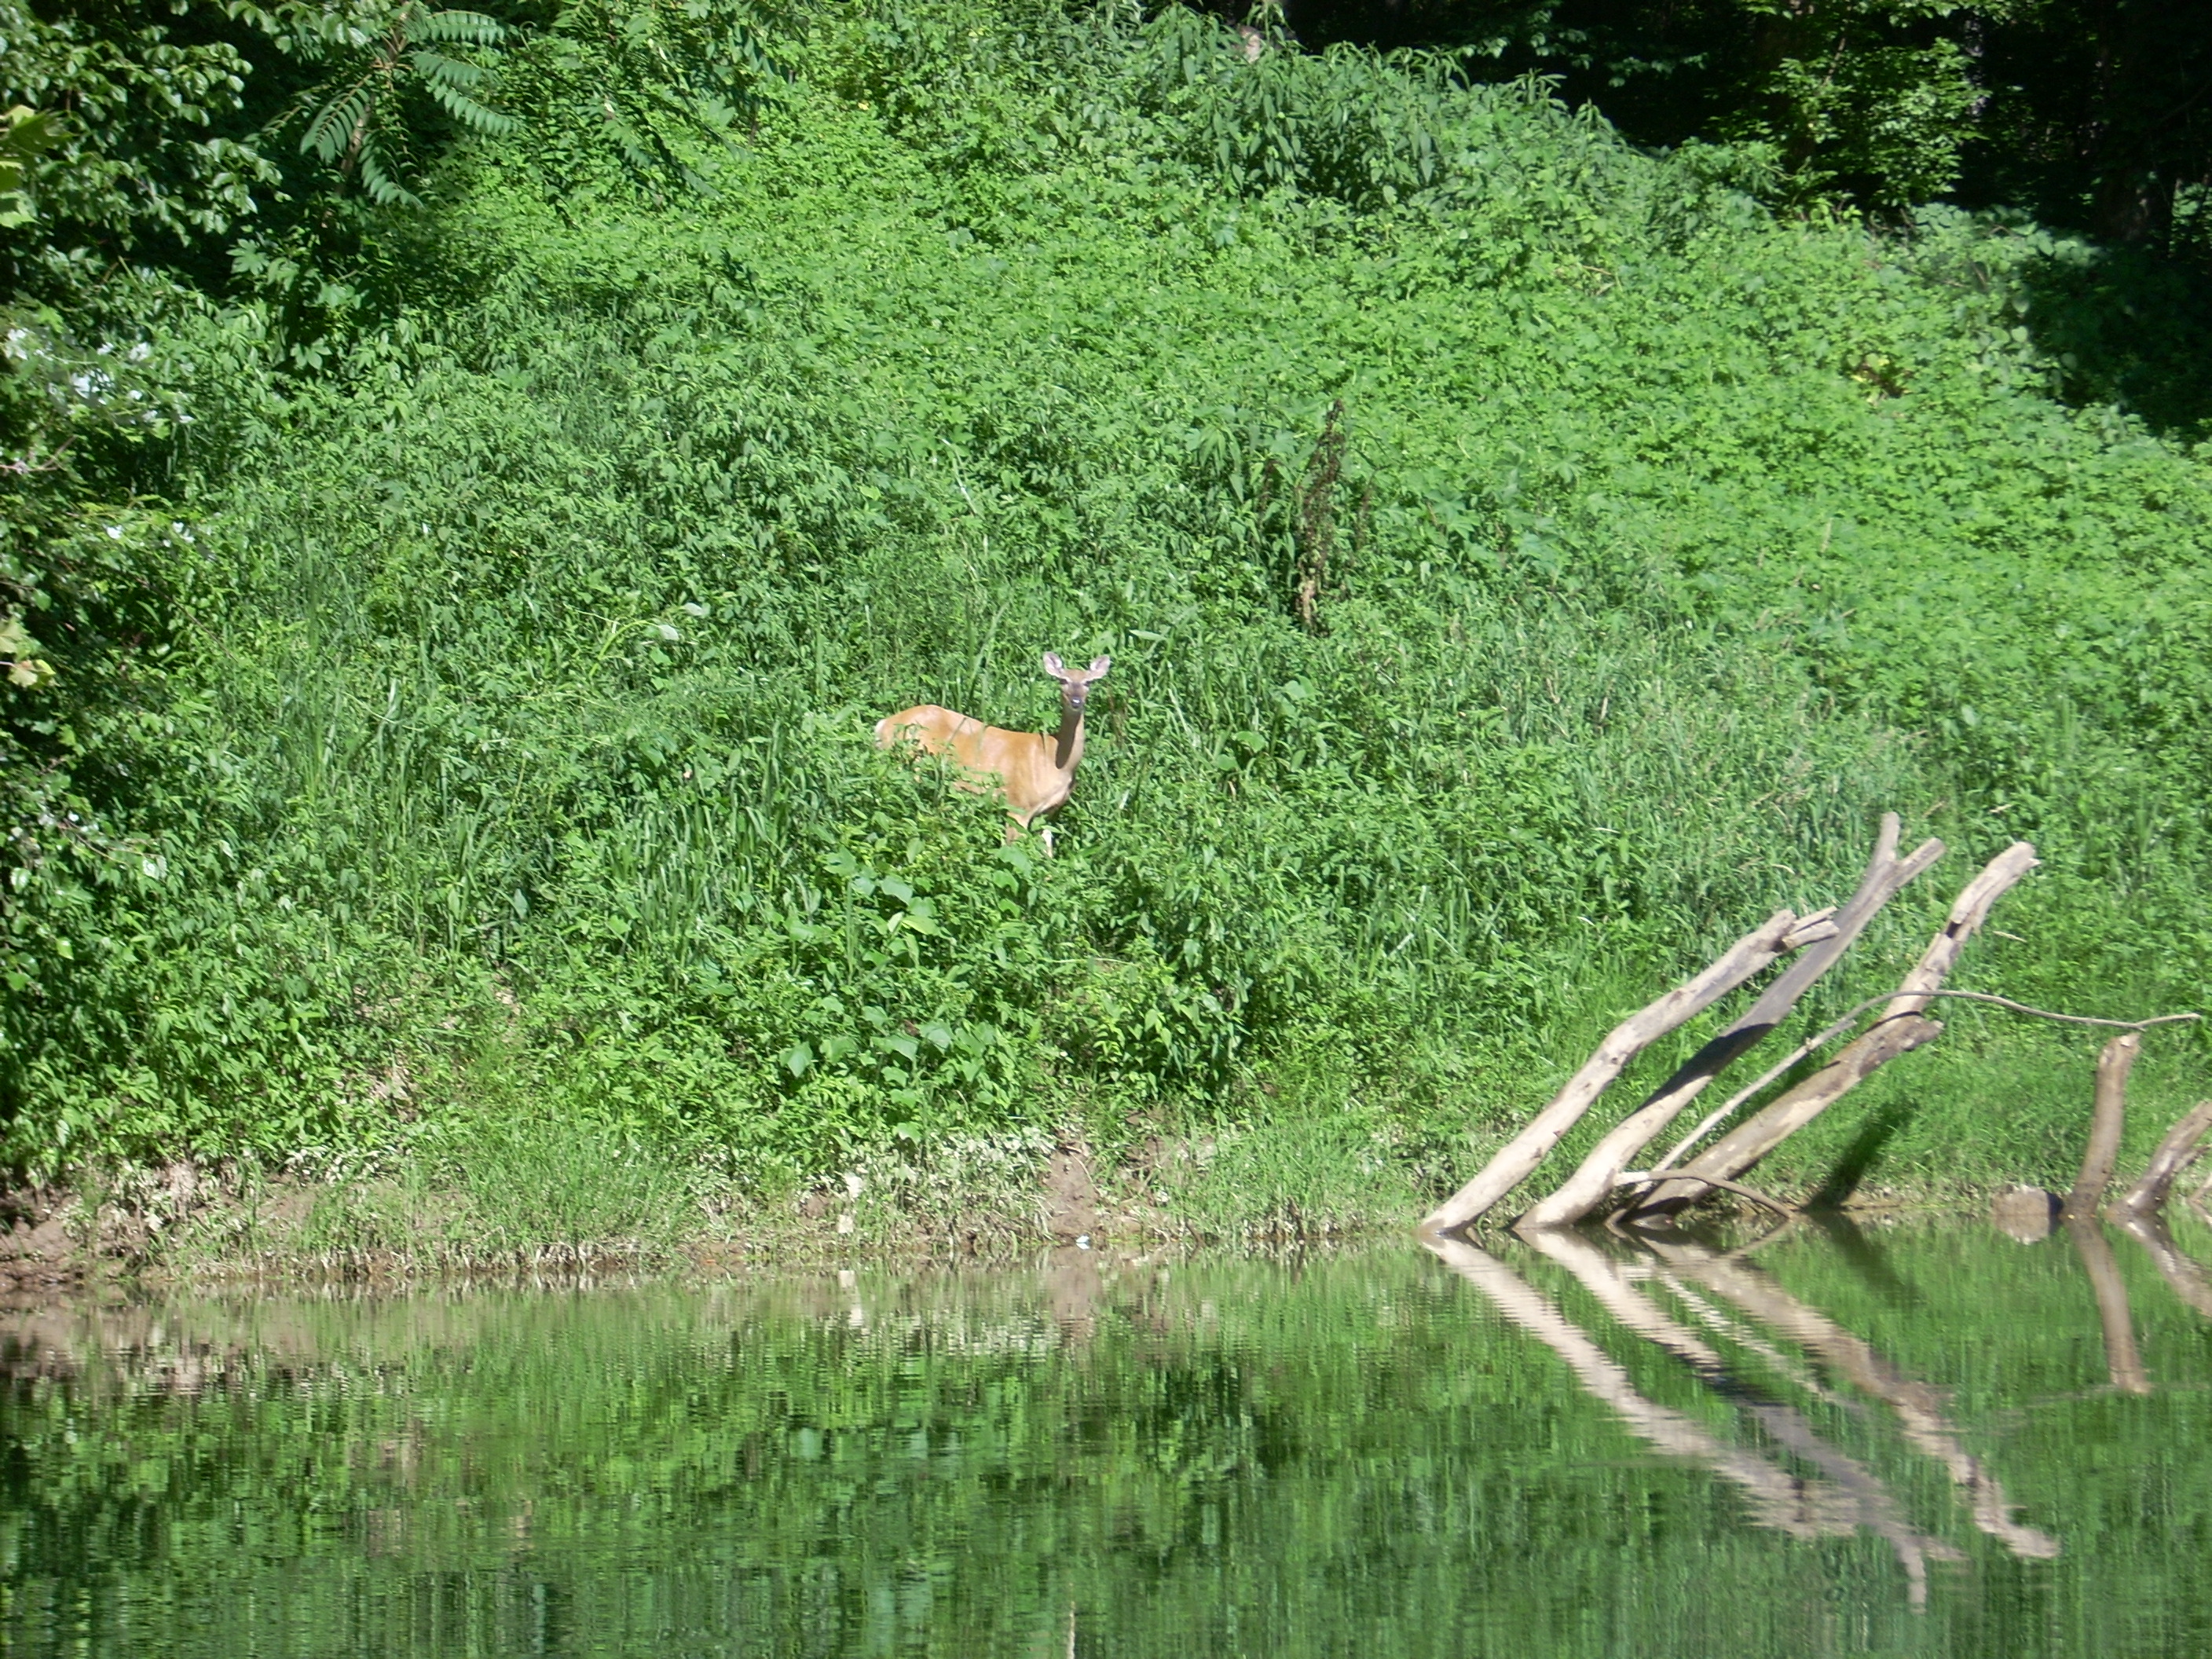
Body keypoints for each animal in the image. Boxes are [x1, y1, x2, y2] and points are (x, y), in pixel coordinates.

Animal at [874, 652, 1110, 854]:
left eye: (1088, 682)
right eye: (1062, 680)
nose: (1076, 701)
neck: (1055, 760)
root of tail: (883, 724)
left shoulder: (1048, 813)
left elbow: (1047, 849)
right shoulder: (1018, 804)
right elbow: (1013, 849)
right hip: (907, 763)